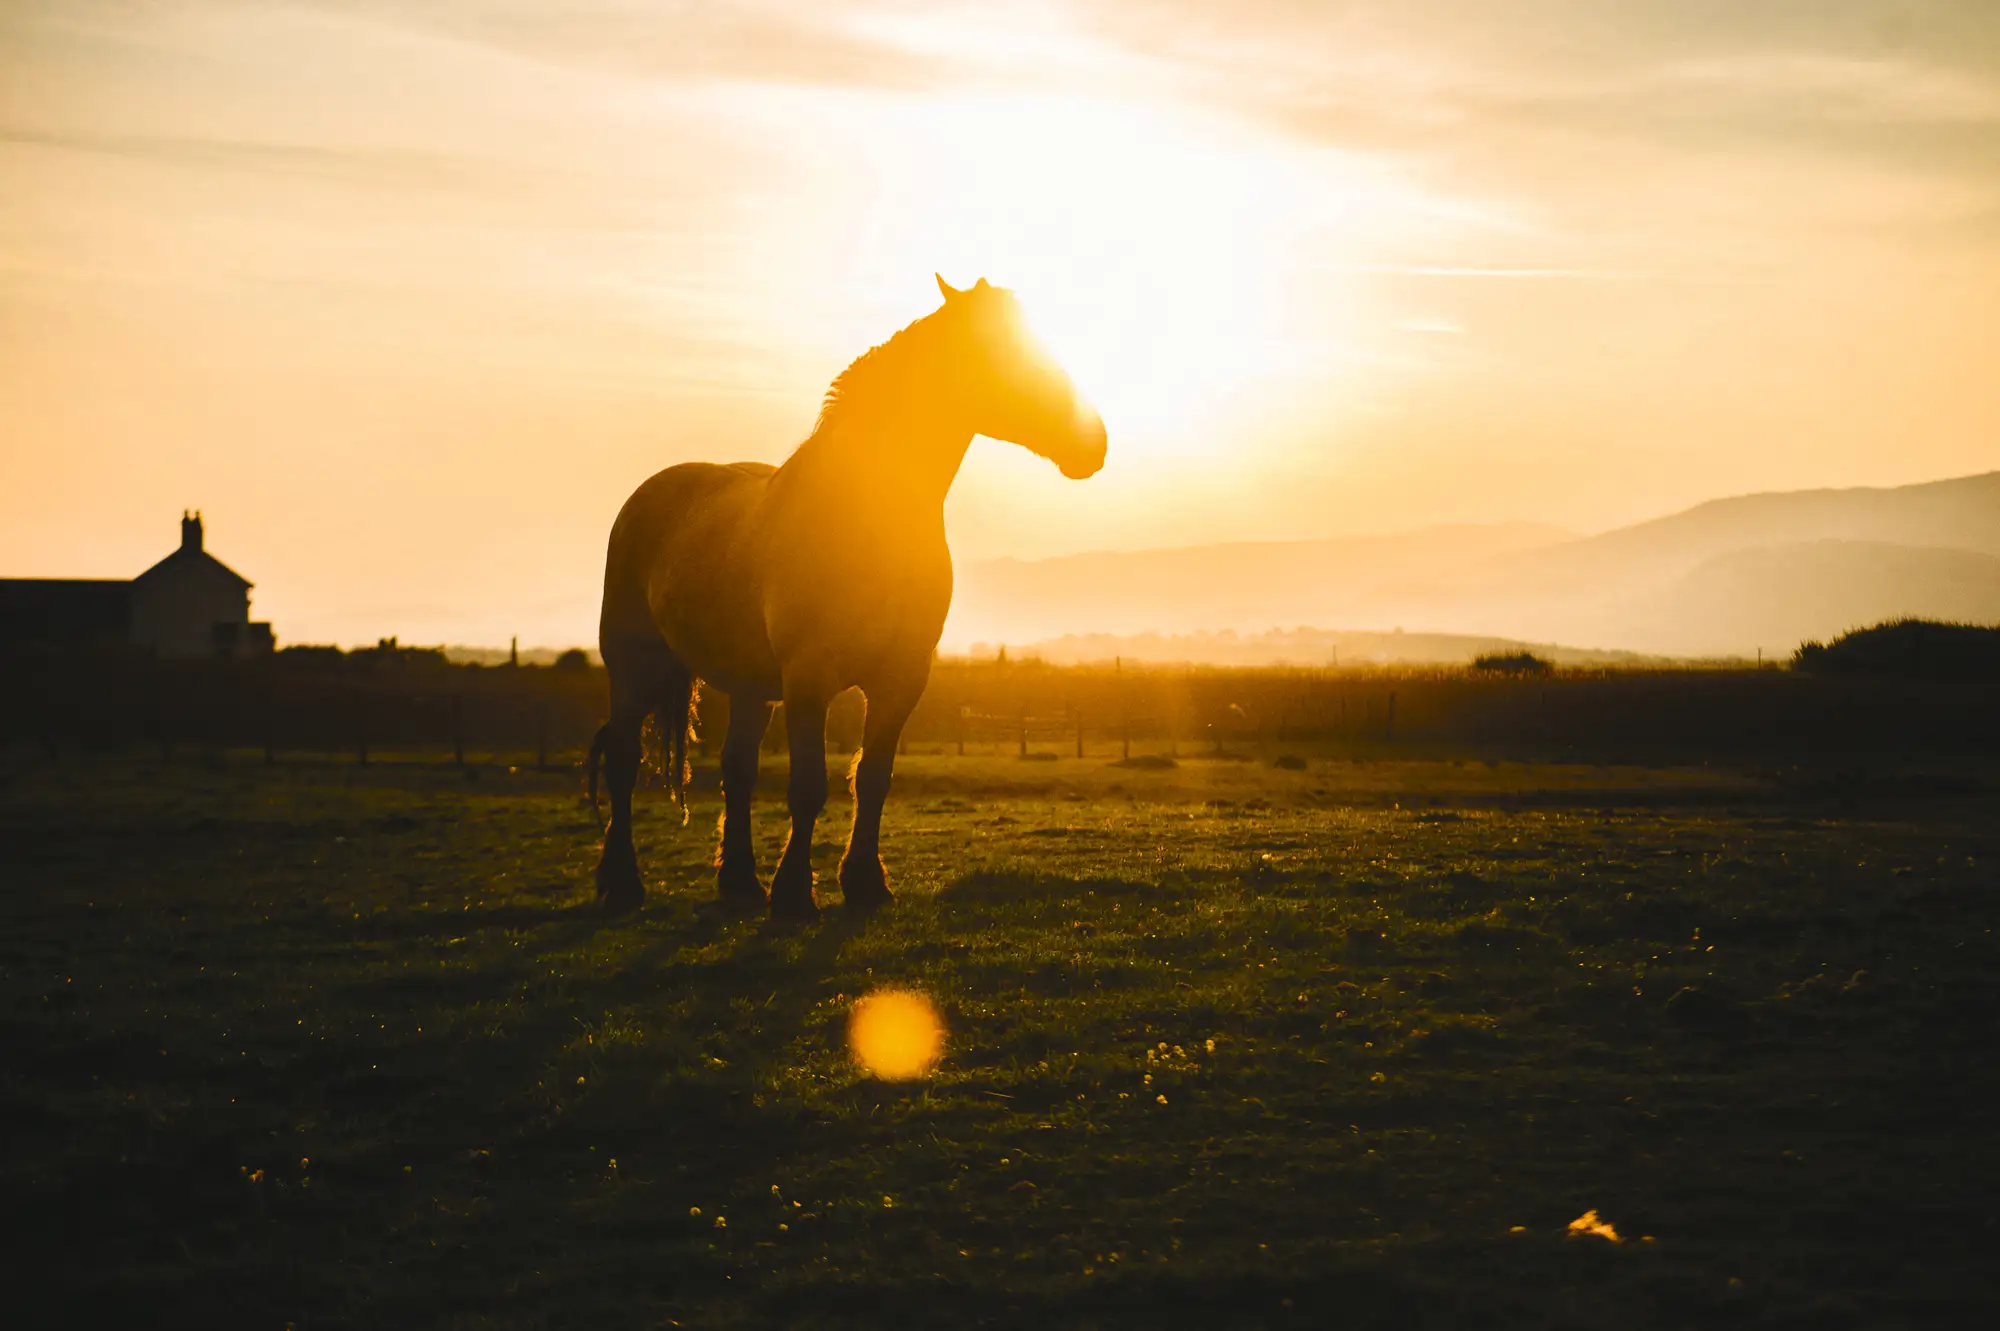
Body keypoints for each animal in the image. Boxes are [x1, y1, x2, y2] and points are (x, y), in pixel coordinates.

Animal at [588, 276, 1107, 920]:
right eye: (1004, 353)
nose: (1094, 443)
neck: (866, 519)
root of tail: (650, 495)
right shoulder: (809, 677)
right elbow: (809, 785)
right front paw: (794, 895)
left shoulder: (903, 678)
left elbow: (874, 778)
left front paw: (865, 884)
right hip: (633, 668)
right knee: (623, 762)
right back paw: (623, 883)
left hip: (751, 685)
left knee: (737, 769)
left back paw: (740, 884)